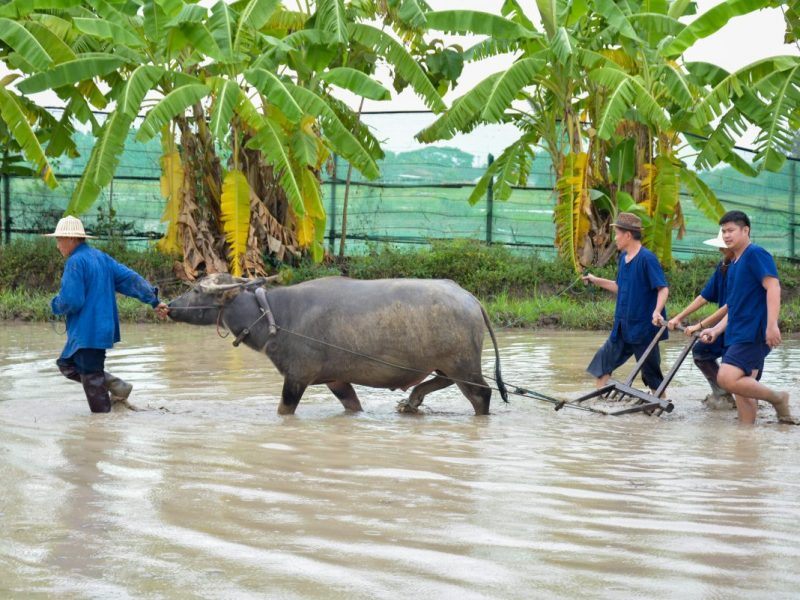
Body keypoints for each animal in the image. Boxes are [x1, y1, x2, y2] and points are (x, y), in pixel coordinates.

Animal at [166, 274, 510, 414]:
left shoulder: (297, 378)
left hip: (463, 364)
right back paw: (412, 402)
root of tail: (468, 297)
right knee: (440, 382)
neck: (274, 315)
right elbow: (352, 405)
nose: (169, 306)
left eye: (197, 290)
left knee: (482, 395)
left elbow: (284, 410)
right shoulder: (336, 379)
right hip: (447, 365)